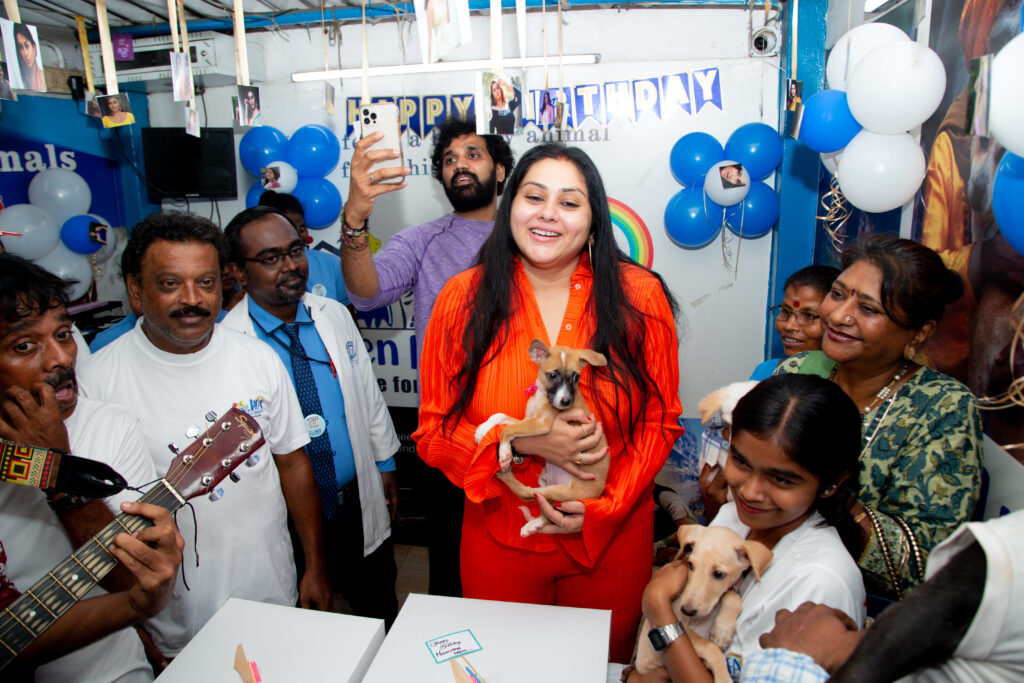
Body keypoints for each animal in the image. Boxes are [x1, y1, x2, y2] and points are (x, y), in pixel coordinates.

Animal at [473, 339, 606, 536]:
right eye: (552, 375)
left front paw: (504, 452)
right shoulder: (527, 419)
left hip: (559, 491)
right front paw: (483, 430)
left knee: (528, 494)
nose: (566, 402)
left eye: (576, 377)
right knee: (547, 509)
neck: (542, 395)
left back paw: (506, 476)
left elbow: (508, 429)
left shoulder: (540, 423)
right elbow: (501, 417)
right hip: (544, 482)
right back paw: (534, 524)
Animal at [630, 528, 770, 679]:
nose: (686, 610)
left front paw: (722, 631)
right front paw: (723, 677)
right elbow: (710, 647)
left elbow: (733, 596)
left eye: (719, 574)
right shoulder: (680, 622)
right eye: (691, 565)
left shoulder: (730, 590)